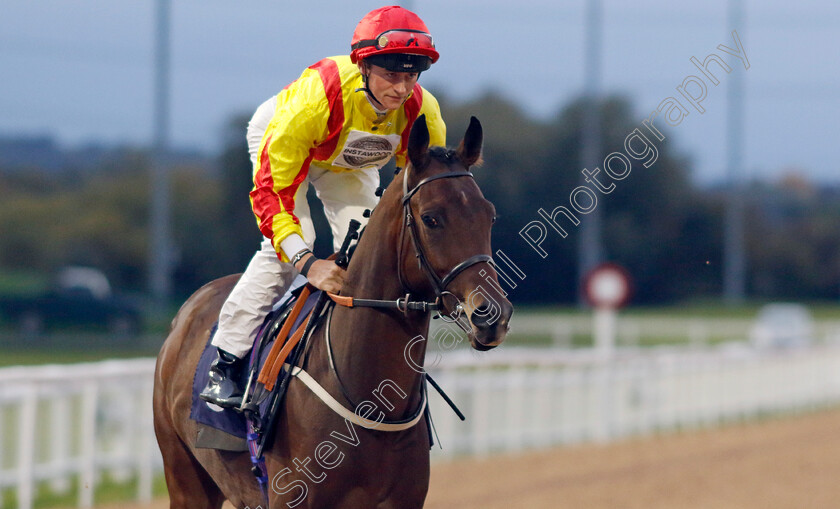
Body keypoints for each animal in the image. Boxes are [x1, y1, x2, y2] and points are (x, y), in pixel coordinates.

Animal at [154, 116, 516, 508]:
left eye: (490, 216)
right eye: (432, 219)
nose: (492, 315)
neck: (372, 405)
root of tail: (186, 312)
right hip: (185, 478)